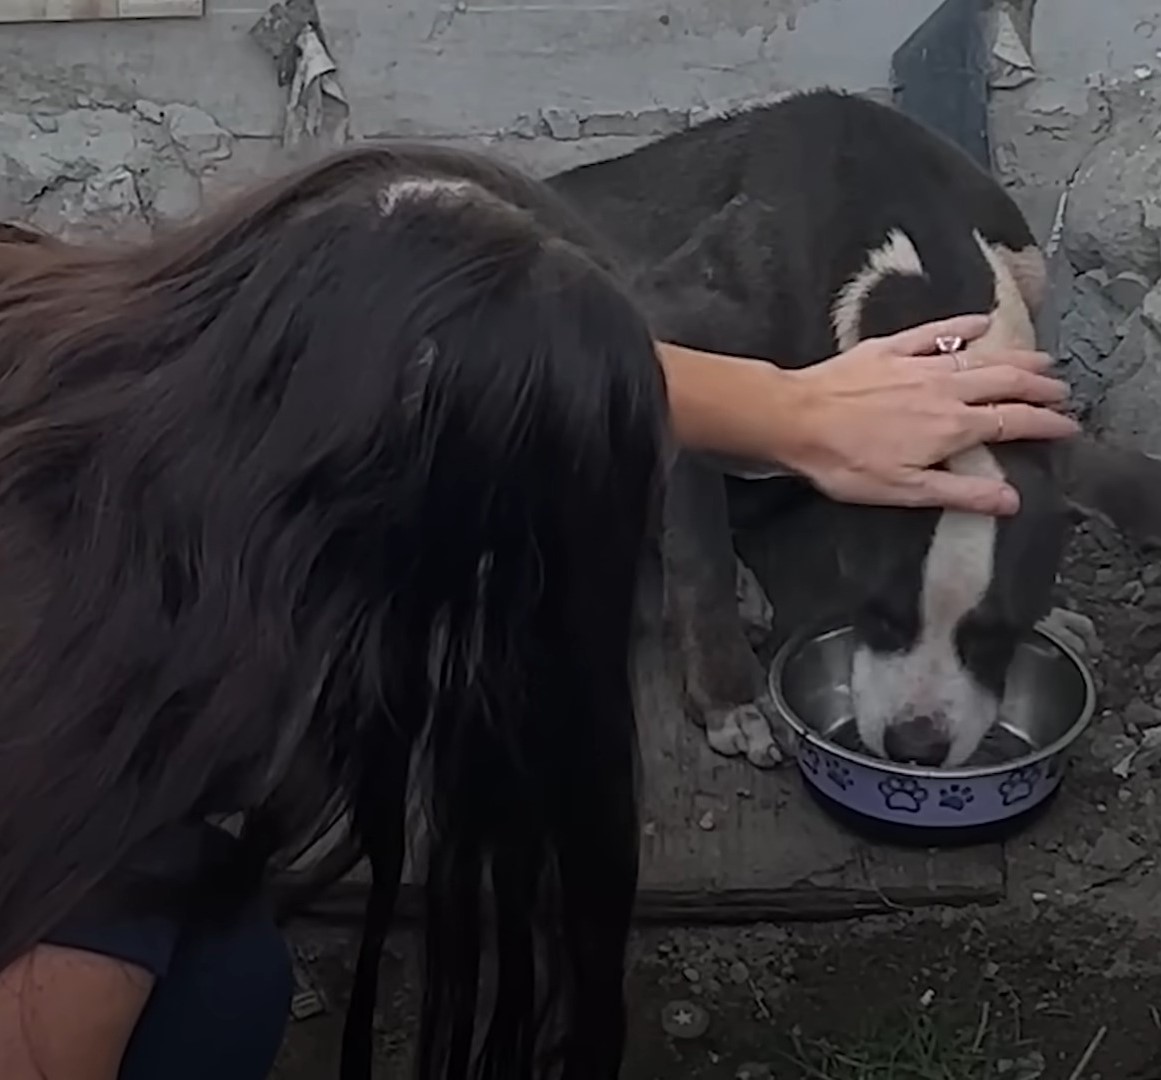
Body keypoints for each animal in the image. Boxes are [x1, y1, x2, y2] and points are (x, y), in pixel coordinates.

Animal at [547, 90, 1072, 766]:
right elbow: (699, 557)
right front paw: (729, 701)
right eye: (878, 610)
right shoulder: (678, 332)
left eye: (999, 632)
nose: (916, 746)